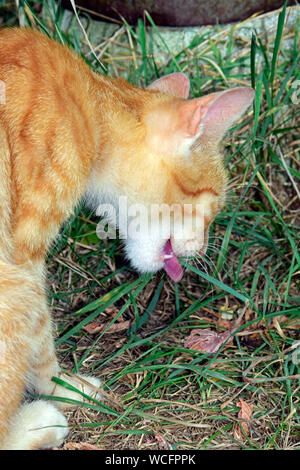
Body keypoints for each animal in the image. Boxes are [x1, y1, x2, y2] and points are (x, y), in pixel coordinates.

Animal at [0, 28, 253, 448]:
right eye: (216, 204)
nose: (202, 249)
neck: (91, 106)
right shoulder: (24, 255)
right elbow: (41, 339)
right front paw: (66, 387)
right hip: (14, 286)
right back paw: (40, 422)